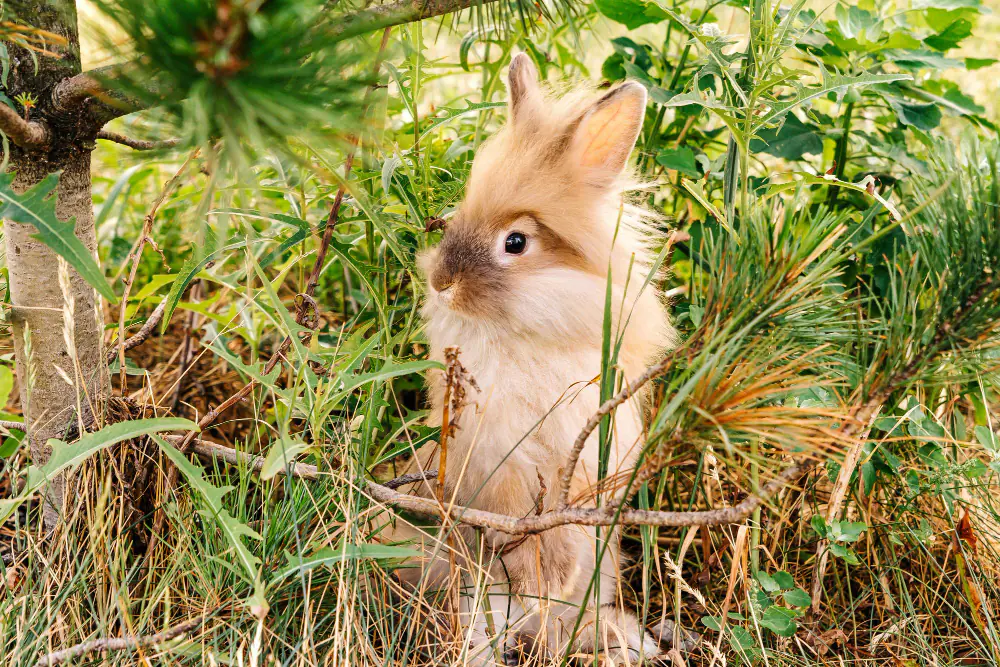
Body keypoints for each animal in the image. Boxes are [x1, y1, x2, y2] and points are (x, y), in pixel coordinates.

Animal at [387, 53, 675, 665]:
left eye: (515, 243)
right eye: (455, 218)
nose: (440, 282)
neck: (524, 333)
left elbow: (561, 526)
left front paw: (555, 580)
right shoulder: (499, 460)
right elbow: (521, 523)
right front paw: (543, 577)